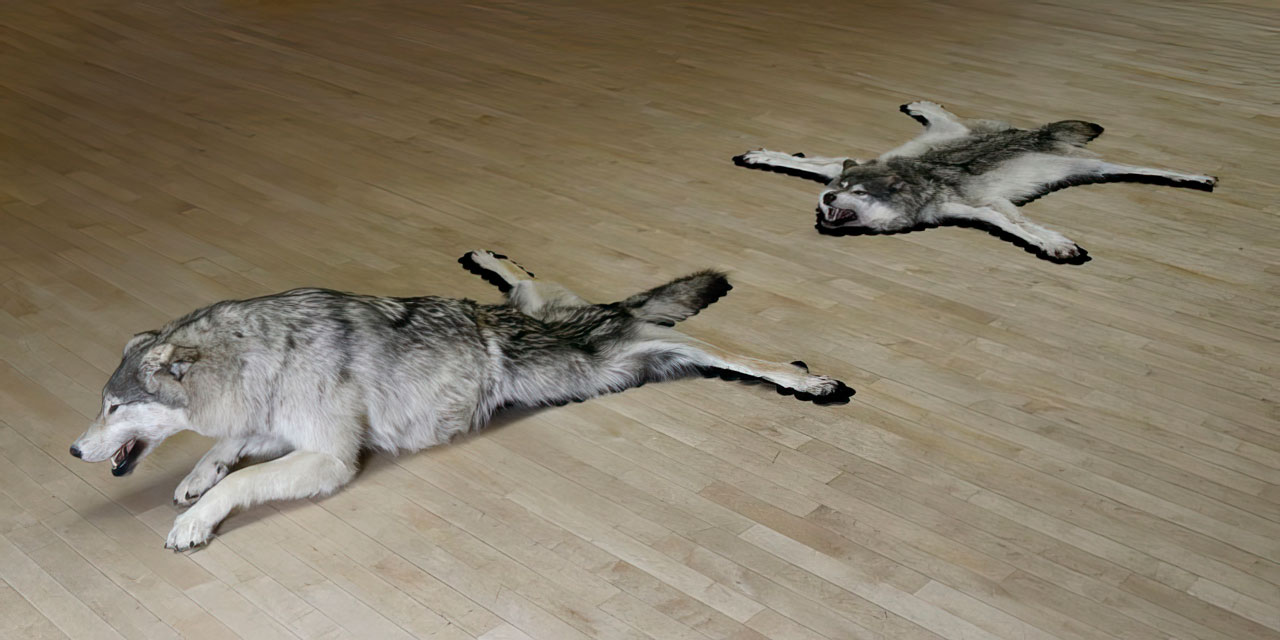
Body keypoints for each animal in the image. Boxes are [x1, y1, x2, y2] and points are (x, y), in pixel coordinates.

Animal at [70, 251, 853, 551]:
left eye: (112, 409)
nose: (73, 449)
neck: (260, 356)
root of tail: (607, 316)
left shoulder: (330, 457)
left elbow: (240, 479)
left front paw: (194, 518)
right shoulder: (287, 429)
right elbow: (227, 448)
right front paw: (194, 479)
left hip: (638, 355)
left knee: (734, 354)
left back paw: (808, 379)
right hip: (566, 313)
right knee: (529, 276)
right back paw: (486, 258)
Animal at [733, 101, 1218, 263]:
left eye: (858, 193)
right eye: (834, 191)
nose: (829, 196)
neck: (918, 181)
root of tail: (1033, 133)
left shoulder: (981, 208)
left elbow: (1015, 225)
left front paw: (1054, 245)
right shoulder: (841, 165)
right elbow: (811, 162)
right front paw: (762, 156)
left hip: (1092, 168)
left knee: (1146, 168)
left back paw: (1196, 175)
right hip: (951, 132)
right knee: (946, 115)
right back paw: (920, 104)